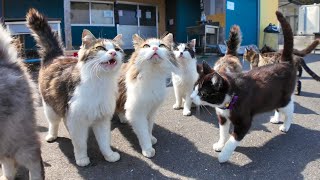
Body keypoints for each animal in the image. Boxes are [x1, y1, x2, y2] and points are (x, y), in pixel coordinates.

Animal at [26, 8, 124, 166]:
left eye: (117, 49)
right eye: (101, 48)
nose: (113, 52)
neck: (100, 81)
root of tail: (56, 56)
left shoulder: (102, 119)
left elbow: (104, 141)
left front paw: (108, 155)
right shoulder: (76, 120)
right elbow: (80, 143)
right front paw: (82, 159)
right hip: (50, 107)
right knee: (53, 123)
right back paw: (51, 135)